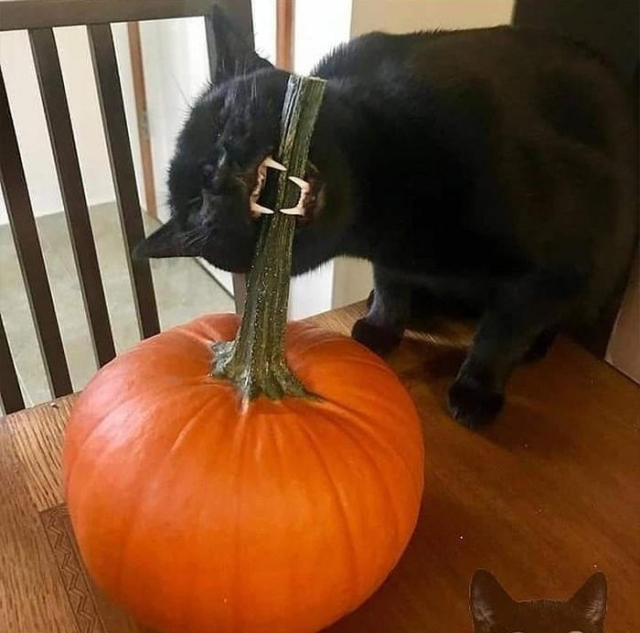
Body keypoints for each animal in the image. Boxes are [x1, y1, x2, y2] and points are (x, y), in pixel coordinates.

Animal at [135, 8, 636, 424]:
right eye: (195, 208)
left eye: (221, 117)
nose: (214, 172)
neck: (383, 214)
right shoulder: (391, 258)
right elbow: (391, 287)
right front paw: (380, 326)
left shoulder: (564, 259)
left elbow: (501, 334)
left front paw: (476, 391)